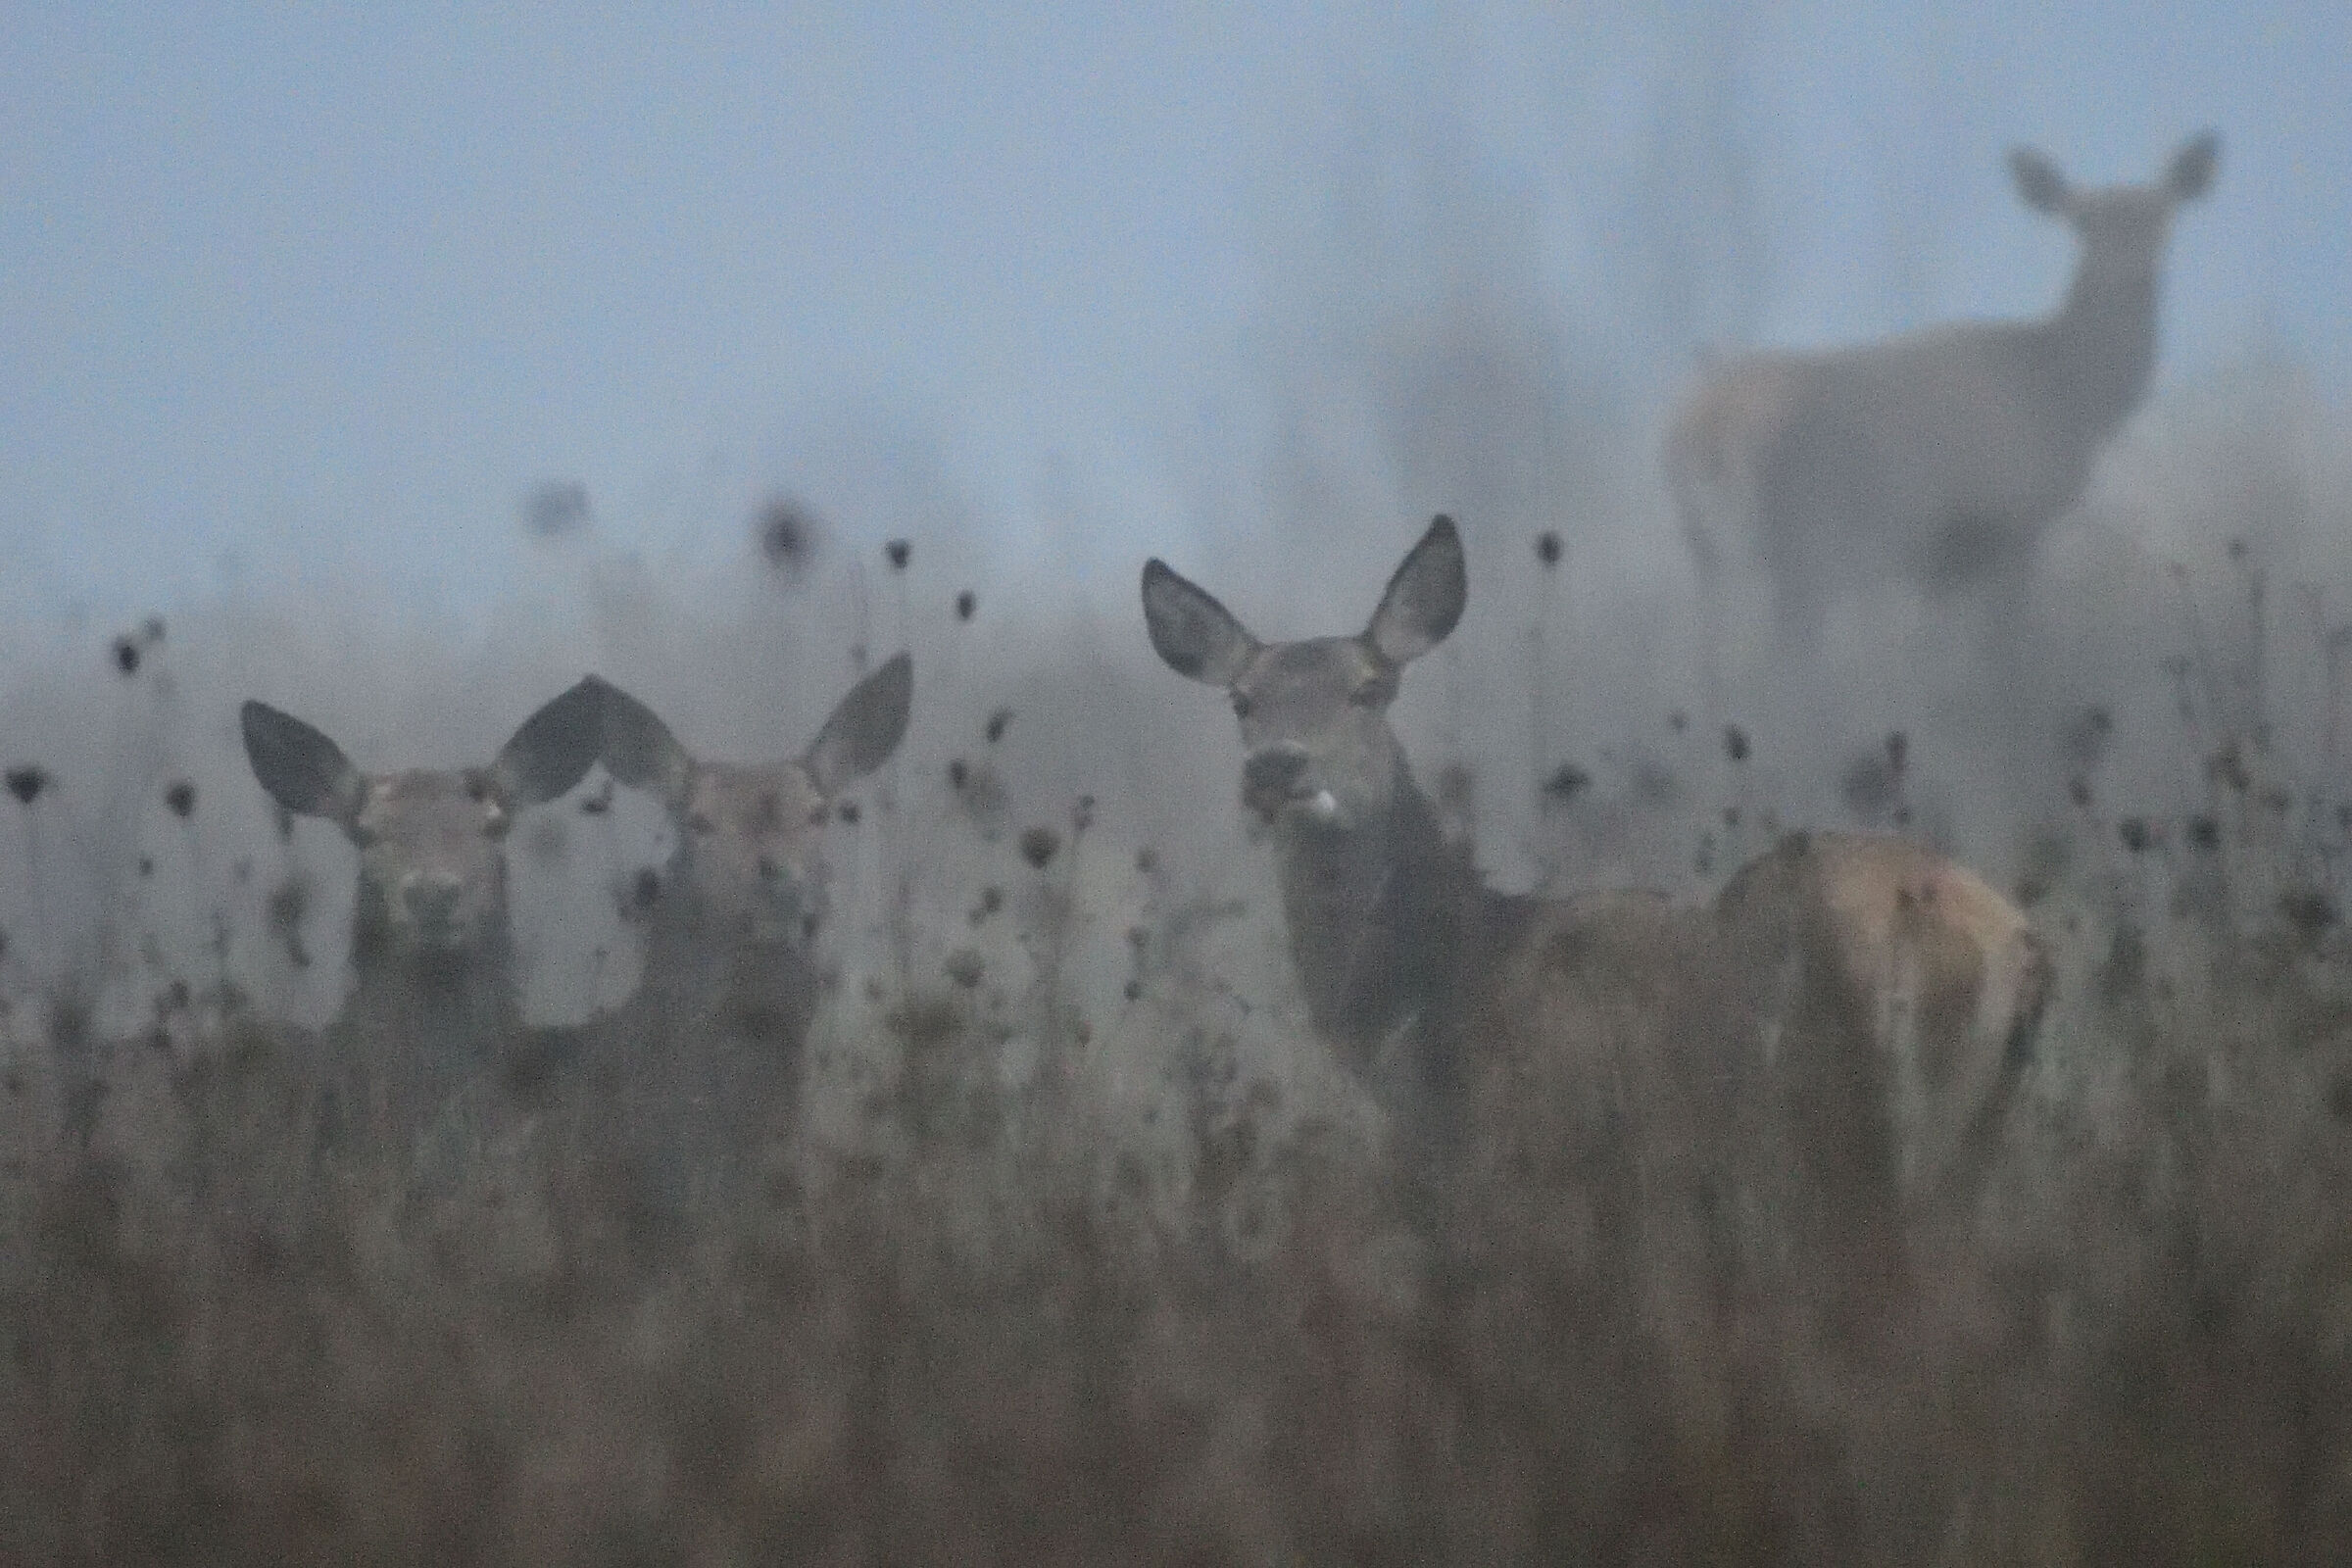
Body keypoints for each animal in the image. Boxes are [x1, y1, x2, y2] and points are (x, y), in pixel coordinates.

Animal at [1664, 131, 2219, 711]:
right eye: (2083, 222)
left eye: (2160, 216)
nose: (2130, 272)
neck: (2067, 398)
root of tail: (1708, 429)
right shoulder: (2009, 520)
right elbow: (2001, 647)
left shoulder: (1943, 556)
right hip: (1806, 531)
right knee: (1790, 654)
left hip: (1710, 546)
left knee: (1714, 652)